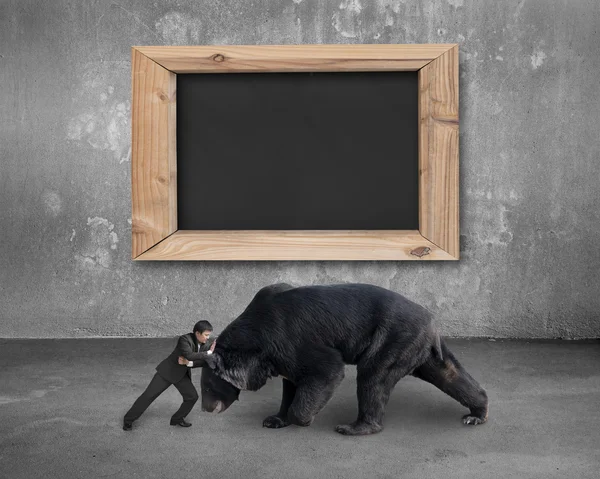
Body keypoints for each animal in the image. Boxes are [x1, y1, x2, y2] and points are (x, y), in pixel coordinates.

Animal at [199, 284, 490, 436]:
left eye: (209, 388)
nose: (206, 409)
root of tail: (432, 322)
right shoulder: (281, 357)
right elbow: (291, 382)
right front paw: (275, 419)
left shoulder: (291, 340)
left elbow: (326, 369)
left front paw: (303, 418)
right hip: (420, 351)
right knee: (449, 374)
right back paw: (477, 413)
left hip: (391, 339)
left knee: (373, 377)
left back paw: (354, 427)